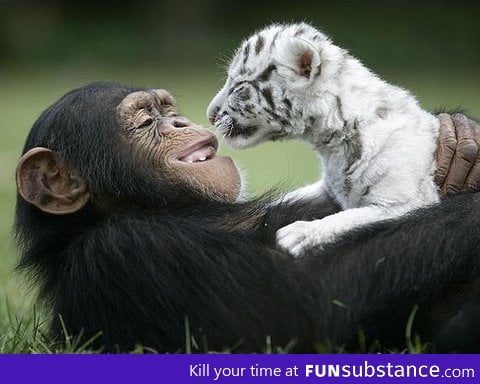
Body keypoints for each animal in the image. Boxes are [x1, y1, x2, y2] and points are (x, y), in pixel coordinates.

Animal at [12, 82, 480, 352]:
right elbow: (309, 309)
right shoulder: (125, 254)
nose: (180, 121)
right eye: (146, 121)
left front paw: (458, 140)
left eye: (168, 110)